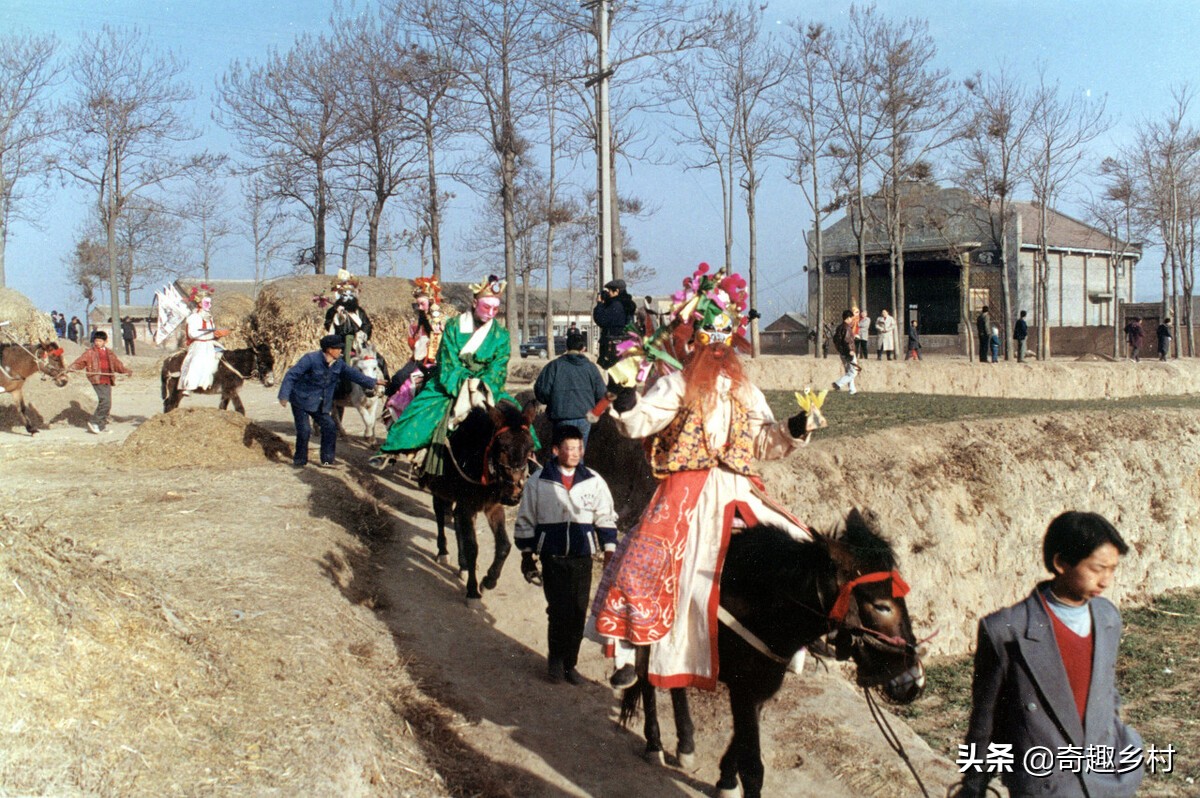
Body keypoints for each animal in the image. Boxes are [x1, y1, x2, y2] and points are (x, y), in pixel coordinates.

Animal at [420, 400, 537, 600]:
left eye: (530, 449)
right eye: (501, 447)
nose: (514, 495)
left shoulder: (493, 506)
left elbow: (504, 546)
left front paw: (489, 581)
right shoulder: (468, 506)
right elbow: (472, 547)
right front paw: (473, 591)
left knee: (456, 520)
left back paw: (464, 566)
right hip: (439, 490)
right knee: (440, 516)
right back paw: (443, 552)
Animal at [624, 511, 921, 796]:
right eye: (881, 606)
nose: (912, 680)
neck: (765, 607)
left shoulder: (760, 689)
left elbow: (740, 744)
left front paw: (726, 779)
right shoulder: (744, 690)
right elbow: (753, 768)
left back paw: (685, 744)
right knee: (647, 682)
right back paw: (654, 744)